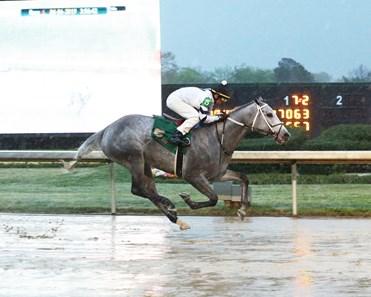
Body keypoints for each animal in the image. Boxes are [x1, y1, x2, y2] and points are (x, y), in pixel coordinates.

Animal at [64, 97, 290, 229]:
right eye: (269, 114)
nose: (286, 135)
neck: (219, 137)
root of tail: (106, 129)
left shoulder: (217, 174)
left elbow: (243, 178)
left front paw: (242, 210)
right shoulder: (193, 175)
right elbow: (214, 198)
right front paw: (187, 199)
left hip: (145, 164)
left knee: (146, 190)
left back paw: (176, 218)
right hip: (134, 158)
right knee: (138, 189)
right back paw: (170, 205)